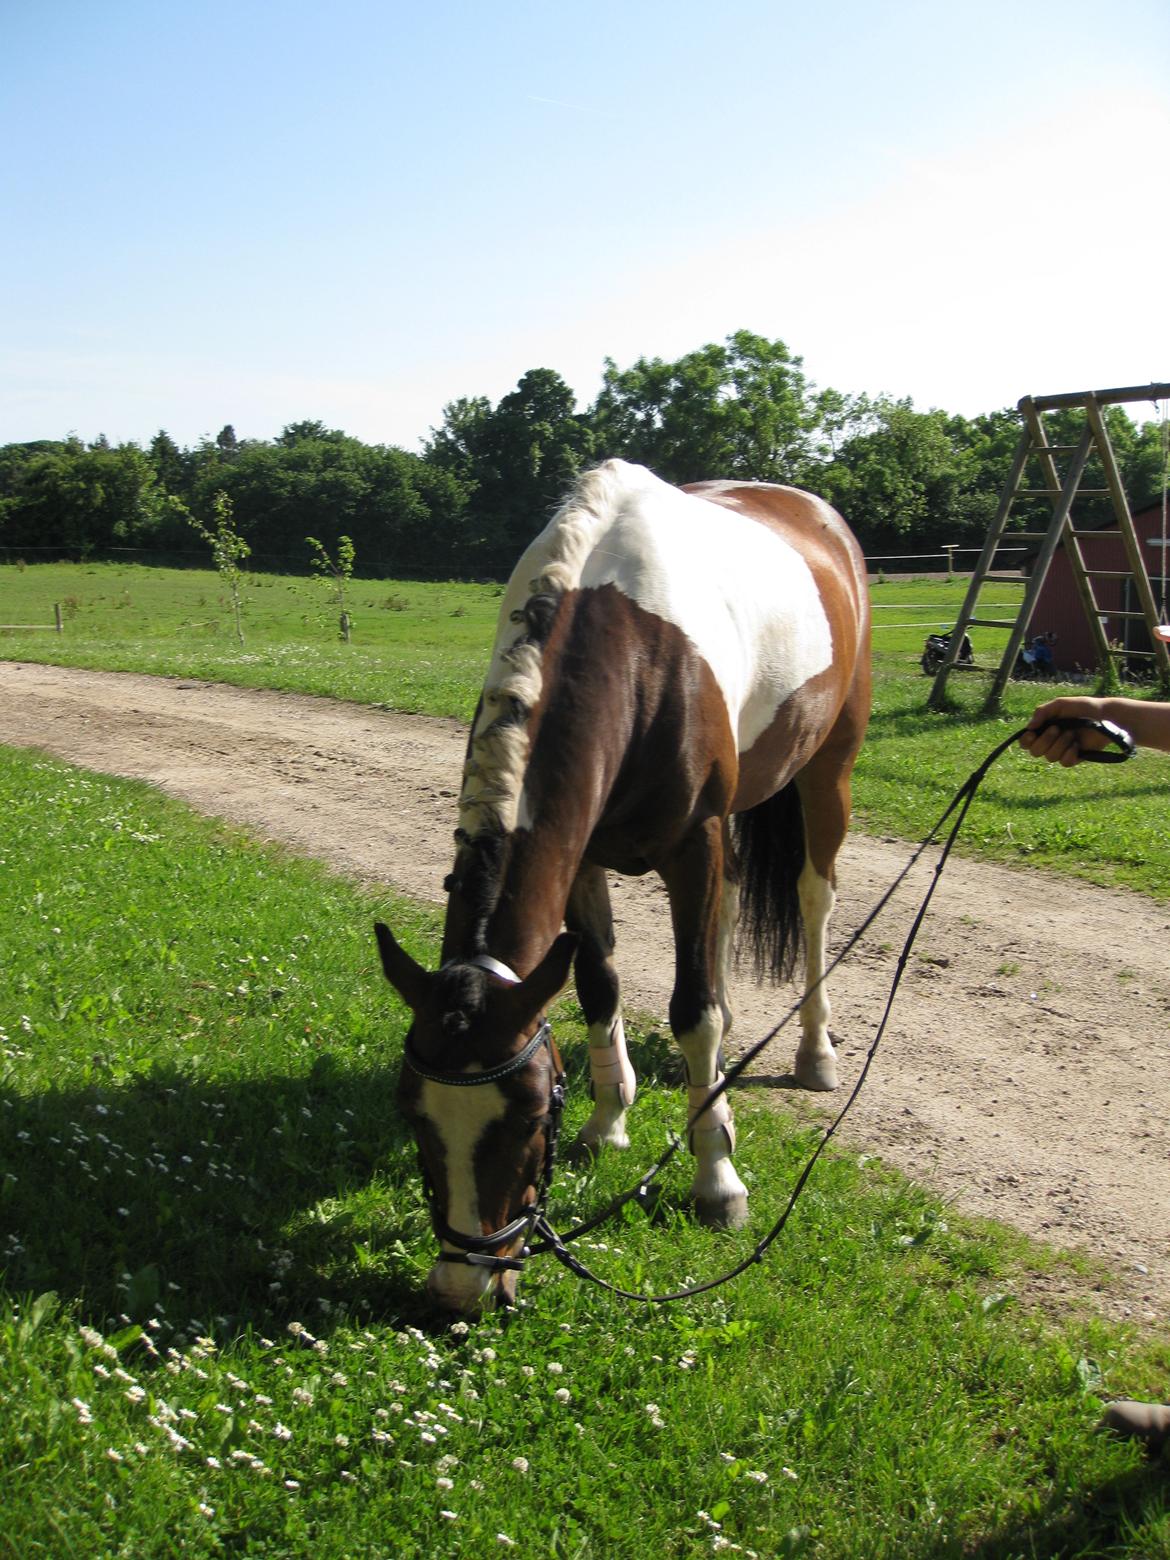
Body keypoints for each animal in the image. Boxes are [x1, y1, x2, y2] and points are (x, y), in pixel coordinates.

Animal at [375, 455, 873, 1310]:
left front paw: (717, 1179)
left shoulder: (693, 845)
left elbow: (692, 1010)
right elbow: (598, 985)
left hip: (827, 768)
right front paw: (610, 1120)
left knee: (813, 900)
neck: (636, 649)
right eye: (414, 1113)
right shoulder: (582, 856)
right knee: (731, 910)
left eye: (529, 1117)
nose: (462, 1290)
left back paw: (815, 1053)